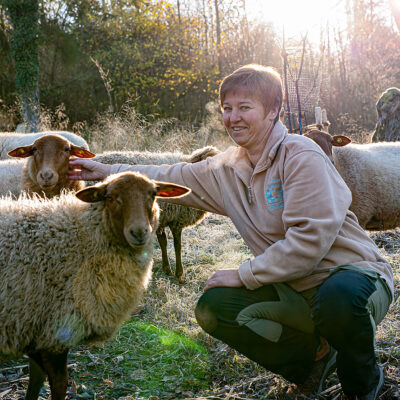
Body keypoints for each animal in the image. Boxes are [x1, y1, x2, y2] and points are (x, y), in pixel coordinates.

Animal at [0, 171, 190, 400]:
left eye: (153, 194)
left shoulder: (33, 333)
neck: (83, 237)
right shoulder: (54, 333)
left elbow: (35, 382)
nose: (139, 232)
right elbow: (59, 384)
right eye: (110, 197)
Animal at [92, 145, 220, 282]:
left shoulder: (162, 219)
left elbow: (163, 243)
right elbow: (177, 245)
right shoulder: (176, 220)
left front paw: (167, 269)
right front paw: (179, 273)